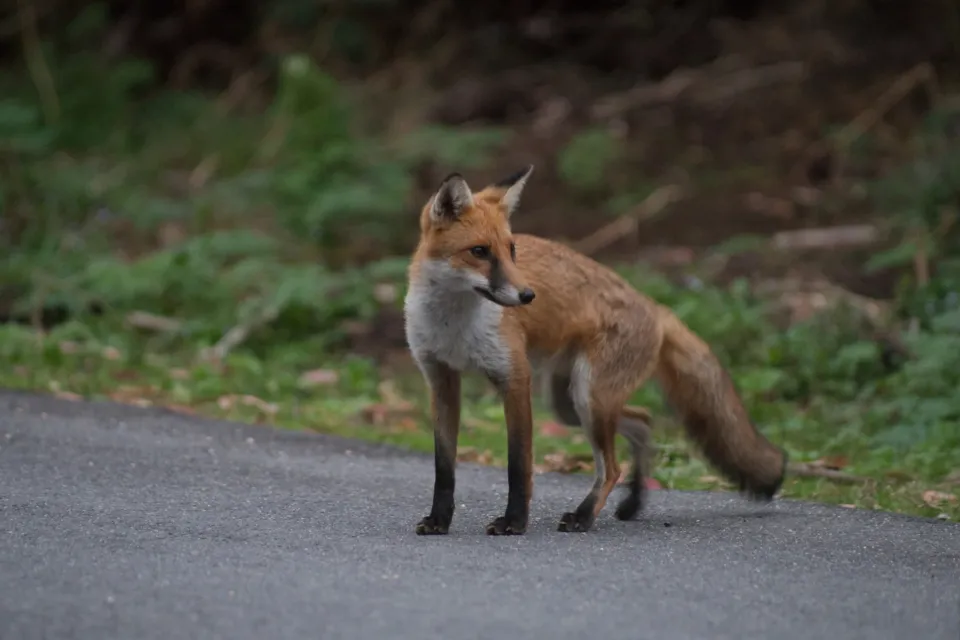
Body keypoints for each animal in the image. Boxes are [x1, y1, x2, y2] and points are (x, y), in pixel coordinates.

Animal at [403, 165, 787, 536]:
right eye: (479, 251)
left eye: (511, 250)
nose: (528, 296)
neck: (454, 326)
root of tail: (655, 308)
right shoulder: (441, 380)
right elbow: (444, 468)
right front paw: (438, 521)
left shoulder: (514, 379)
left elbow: (518, 466)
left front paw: (514, 522)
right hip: (570, 404)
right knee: (642, 422)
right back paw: (633, 502)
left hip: (589, 397)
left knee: (613, 466)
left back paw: (584, 516)